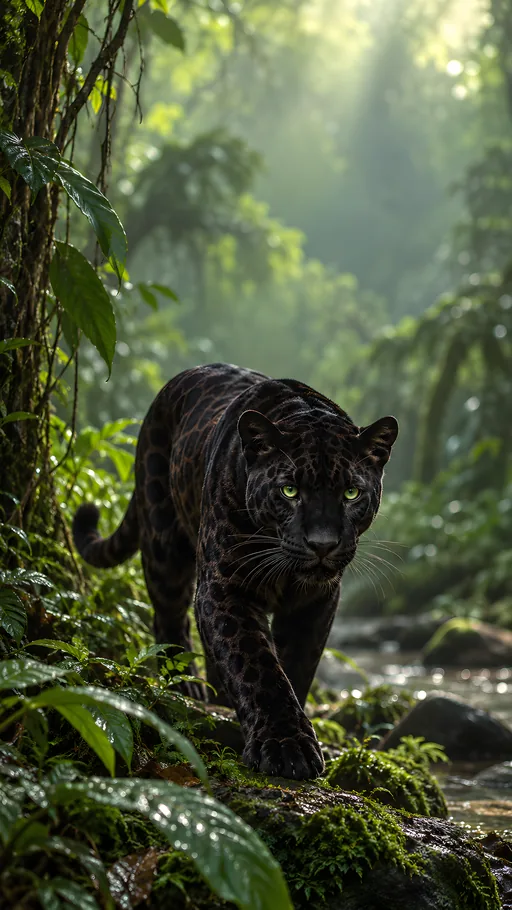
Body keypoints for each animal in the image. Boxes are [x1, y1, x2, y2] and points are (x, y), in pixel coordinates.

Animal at [73, 363, 398, 780]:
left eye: (351, 494)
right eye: (290, 491)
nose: (322, 544)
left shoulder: (317, 600)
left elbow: (295, 666)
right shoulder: (224, 586)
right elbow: (256, 664)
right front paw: (286, 747)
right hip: (164, 542)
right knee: (169, 616)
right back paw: (186, 687)